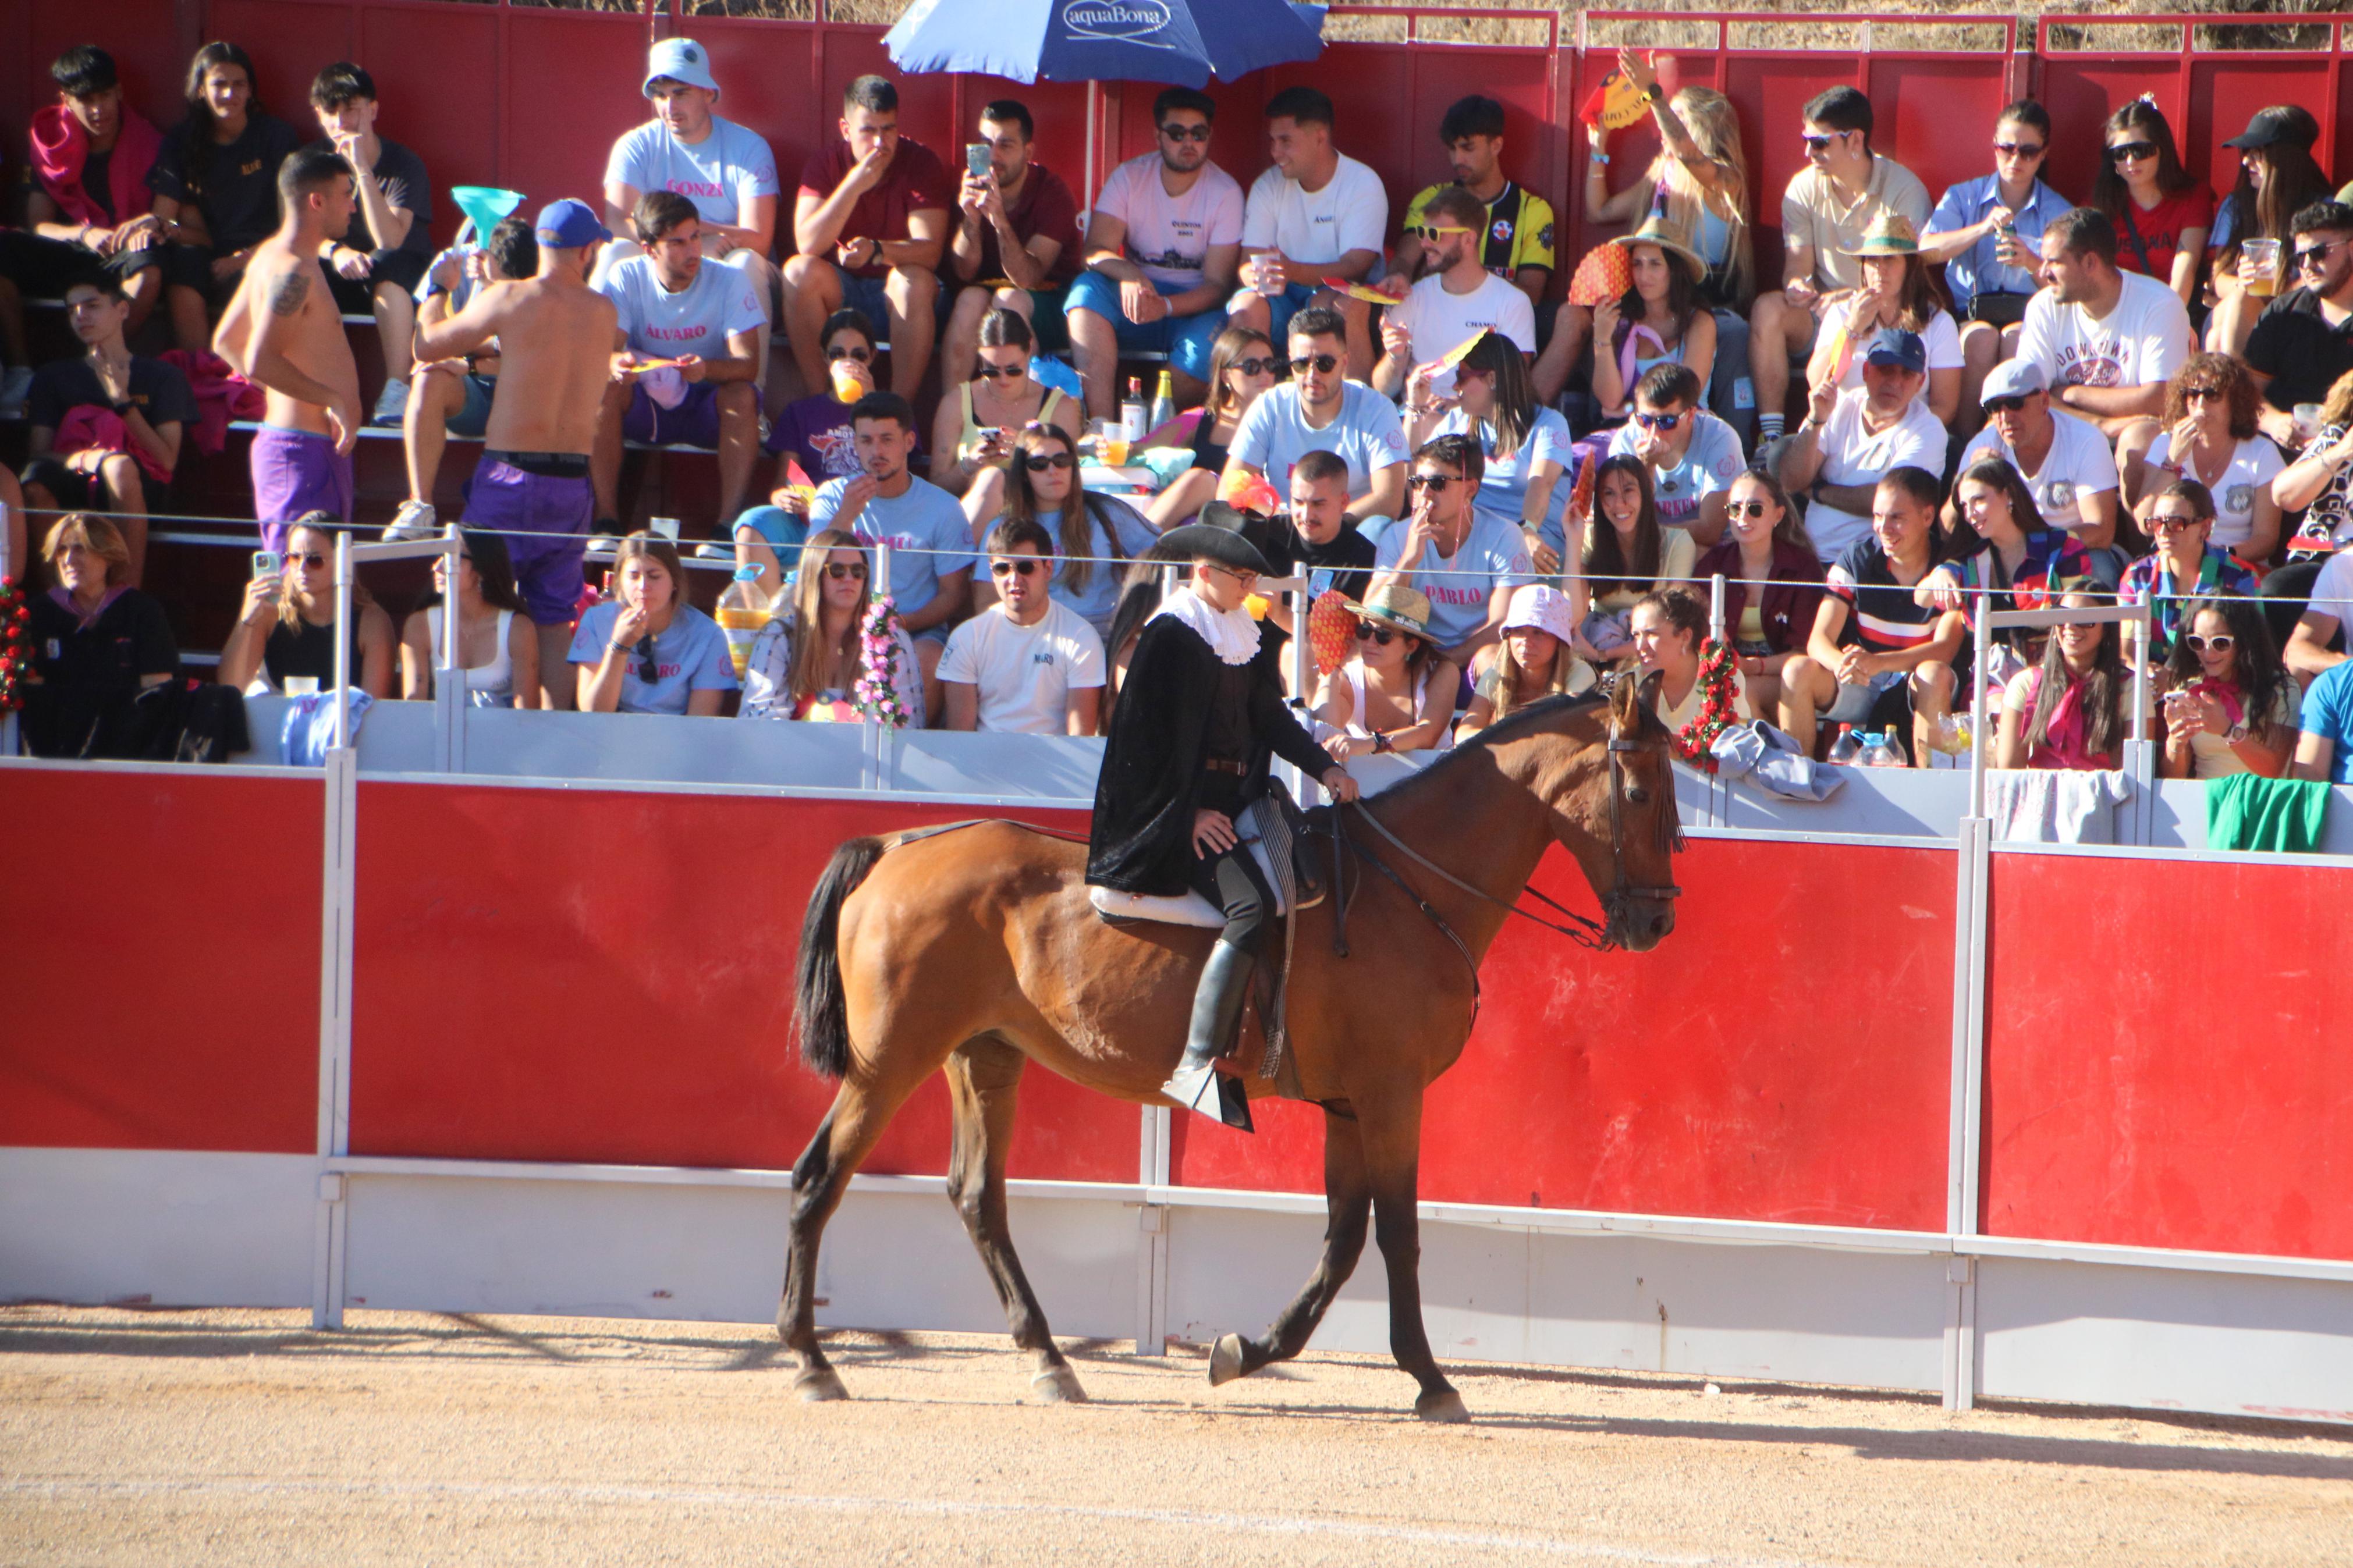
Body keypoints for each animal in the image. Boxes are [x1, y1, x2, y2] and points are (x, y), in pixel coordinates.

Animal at [781, 677, 1684, 1420]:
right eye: (1639, 790)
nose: (1656, 920)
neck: (1407, 889)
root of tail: (898, 847)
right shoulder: (1390, 1094)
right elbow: (1394, 1232)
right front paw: (1431, 1379)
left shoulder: (1349, 1105)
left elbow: (1341, 1238)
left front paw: (1247, 1351)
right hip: (888, 1063)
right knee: (819, 1177)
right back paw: (811, 1358)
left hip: (984, 1057)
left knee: (977, 1197)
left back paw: (1048, 1360)